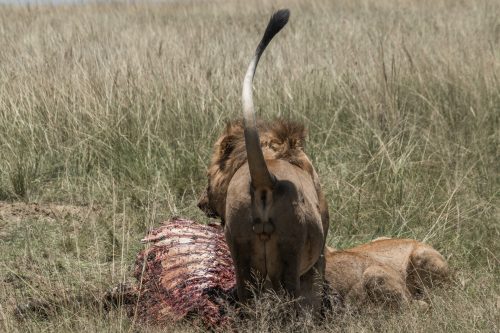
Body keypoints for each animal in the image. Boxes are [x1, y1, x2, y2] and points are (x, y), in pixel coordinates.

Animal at [197, 10, 330, 312]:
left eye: (207, 176)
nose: (200, 202)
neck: (273, 154)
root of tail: (267, 180)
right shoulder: (318, 258)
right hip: (292, 252)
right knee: (292, 303)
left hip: (239, 249)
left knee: (247, 299)